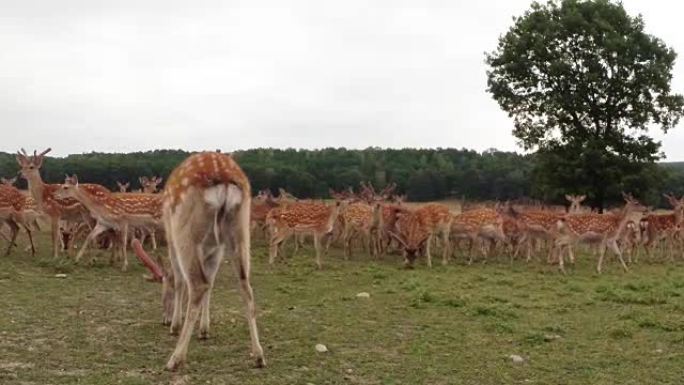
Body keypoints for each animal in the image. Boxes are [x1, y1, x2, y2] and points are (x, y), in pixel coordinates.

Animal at [132, 150, 266, 368]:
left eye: (163, 293)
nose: (164, 319)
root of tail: (224, 177)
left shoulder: (171, 238)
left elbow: (180, 280)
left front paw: (175, 325)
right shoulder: (215, 248)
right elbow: (211, 282)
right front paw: (204, 330)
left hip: (185, 231)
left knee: (196, 284)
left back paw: (175, 358)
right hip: (241, 229)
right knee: (245, 285)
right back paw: (259, 356)